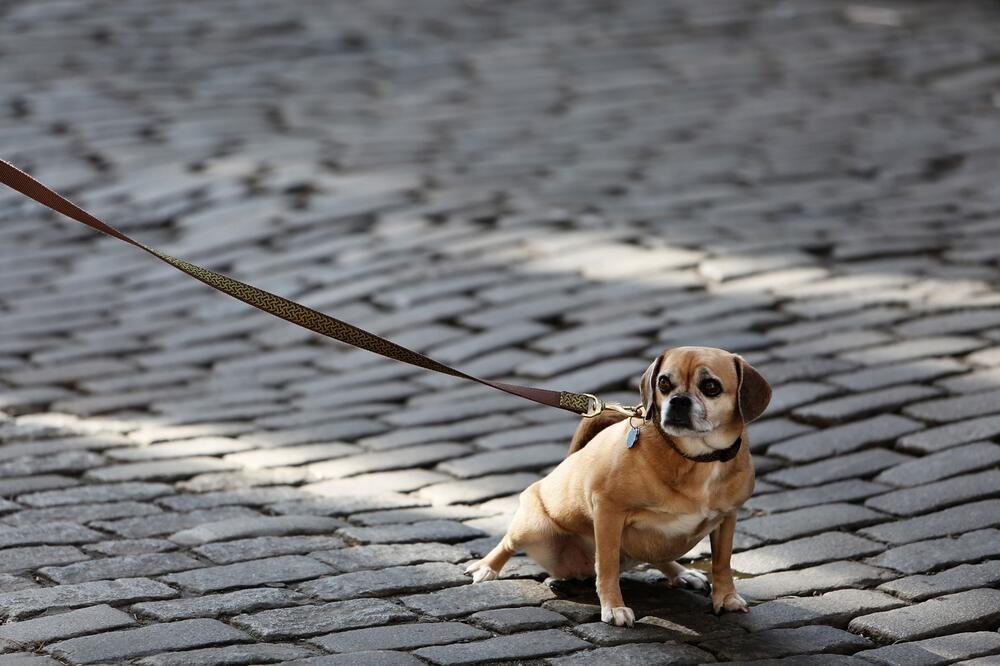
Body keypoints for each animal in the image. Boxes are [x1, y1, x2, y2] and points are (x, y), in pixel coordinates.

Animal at [466, 348, 772, 624]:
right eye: (664, 383)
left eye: (711, 387)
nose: (678, 401)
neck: (695, 458)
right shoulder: (608, 511)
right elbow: (608, 565)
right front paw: (613, 607)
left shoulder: (727, 518)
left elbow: (722, 562)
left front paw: (727, 598)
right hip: (532, 527)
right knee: (507, 542)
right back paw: (486, 568)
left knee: (658, 555)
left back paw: (682, 574)